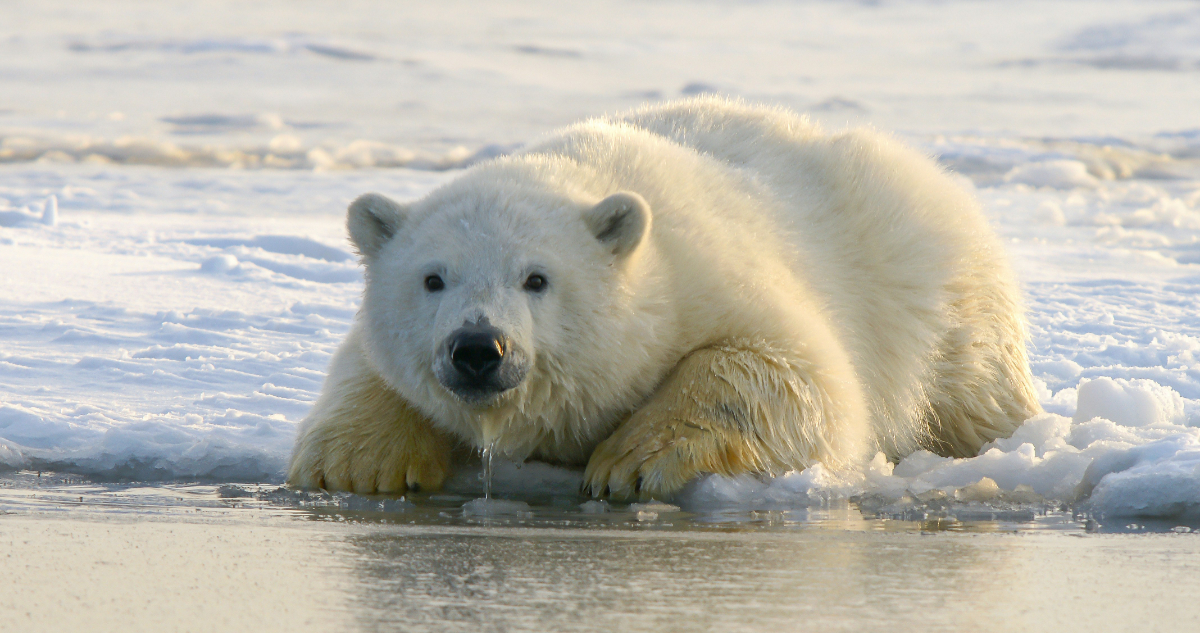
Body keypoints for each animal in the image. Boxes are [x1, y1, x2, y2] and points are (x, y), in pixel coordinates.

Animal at [287, 96, 1041, 499]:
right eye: (433, 278)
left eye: (536, 277)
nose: (478, 348)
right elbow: (365, 366)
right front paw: (358, 464)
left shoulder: (711, 276)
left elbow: (795, 374)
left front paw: (629, 462)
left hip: (934, 291)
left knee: (973, 387)